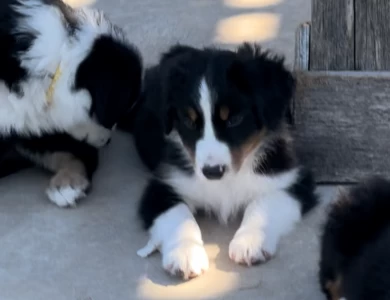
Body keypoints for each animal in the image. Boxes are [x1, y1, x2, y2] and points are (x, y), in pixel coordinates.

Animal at [133, 43, 318, 280]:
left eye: (234, 119)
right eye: (189, 122)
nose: (213, 171)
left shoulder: (293, 180)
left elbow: (262, 204)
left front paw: (250, 242)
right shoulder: (161, 186)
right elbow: (178, 216)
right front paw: (185, 253)